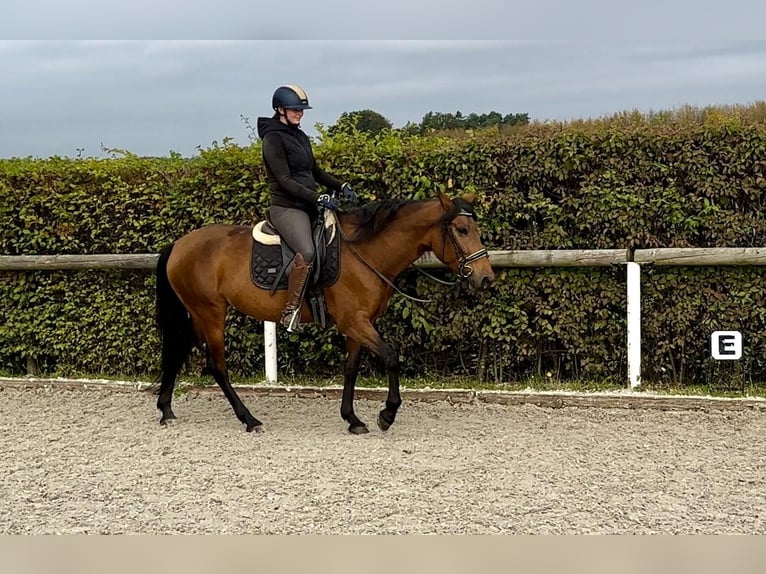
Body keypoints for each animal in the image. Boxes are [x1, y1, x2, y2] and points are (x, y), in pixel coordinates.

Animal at [154, 191, 498, 434]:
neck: (366, 251)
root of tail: (179, 244)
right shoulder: (355, 321)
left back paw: (166, 410)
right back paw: (249, 419)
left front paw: (352, 419)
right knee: (218, 366)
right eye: (462, 229)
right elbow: (391, 357)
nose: (486, 278)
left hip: (198, 314)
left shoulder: (361, 323)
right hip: (211, 313)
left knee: (178, 351)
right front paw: (387, 414)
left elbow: (351, 367)